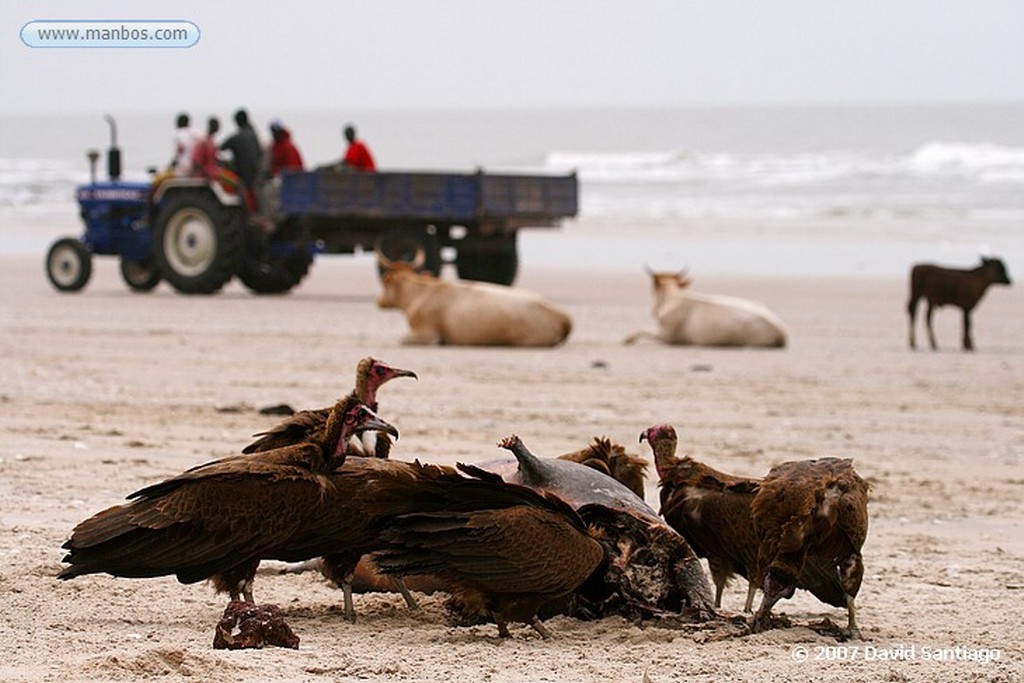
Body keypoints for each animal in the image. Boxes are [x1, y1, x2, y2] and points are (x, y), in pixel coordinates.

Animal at [376, 260, 573, 350]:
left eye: (385, 282)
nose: (380, 301)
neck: (421, 293)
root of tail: (561, 316)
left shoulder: (427, 334)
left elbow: (402, 339)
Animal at [622, 270, 782, 348]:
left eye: (652, 289)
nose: (654, 311)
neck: (675, 297)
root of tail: (781, 331)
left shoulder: (668, 337)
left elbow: (641, 331)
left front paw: (627, 339)